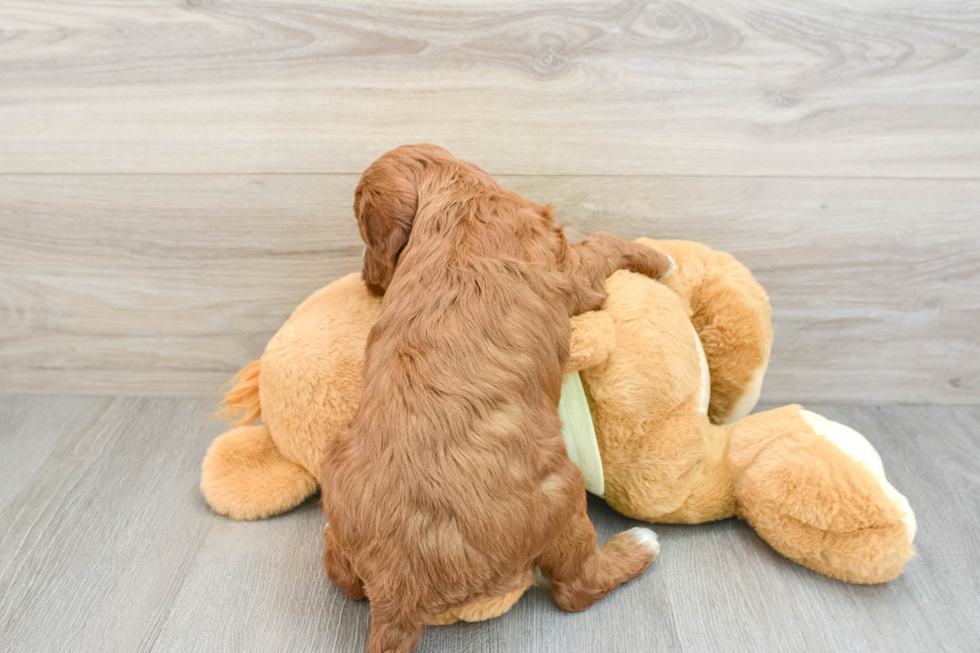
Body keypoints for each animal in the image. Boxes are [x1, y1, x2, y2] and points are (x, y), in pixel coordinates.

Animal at [322, 144, 672, 652]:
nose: (369, 283)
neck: (459, 196)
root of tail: (398, 585)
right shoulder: (573, 270)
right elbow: (605, 243)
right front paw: (661, 257)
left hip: (339, 488)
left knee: (342, 576)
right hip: (561, 497)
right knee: (577, 588)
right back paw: (639, 545)